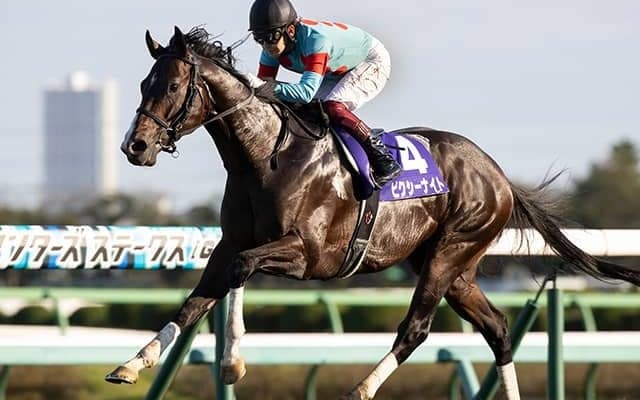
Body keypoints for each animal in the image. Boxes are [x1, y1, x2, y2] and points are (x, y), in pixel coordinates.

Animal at [106, 26, 640, 400]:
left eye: (172, 85)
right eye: (144, 82)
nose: (135, 146)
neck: (264, 157)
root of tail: (498, 174)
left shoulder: (308, 255)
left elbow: (241, 271)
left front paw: (232, 362)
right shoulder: (230, 243)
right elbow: (193, 303)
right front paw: (133, 363)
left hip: (450, 251)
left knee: (416, 329)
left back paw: (361, 386)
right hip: (453, 267)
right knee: (498, 329)